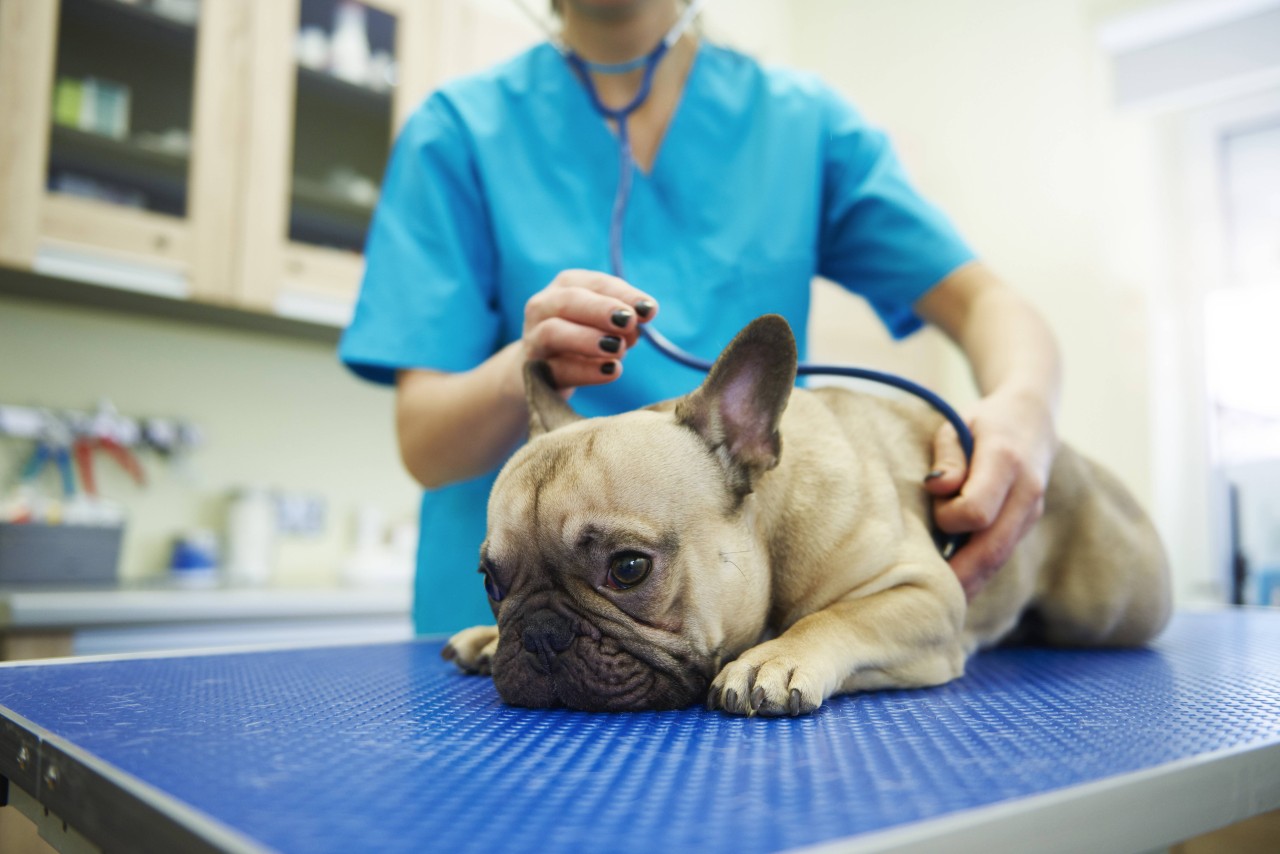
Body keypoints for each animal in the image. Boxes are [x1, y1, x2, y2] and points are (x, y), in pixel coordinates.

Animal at [440, 313, 1172, 717]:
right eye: (491, 583)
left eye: (627, 568)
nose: (538, 635)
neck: (769, 531)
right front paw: (487, 636)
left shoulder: (925, 592)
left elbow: (837, 616)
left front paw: (773, 659)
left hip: (1109, 607)